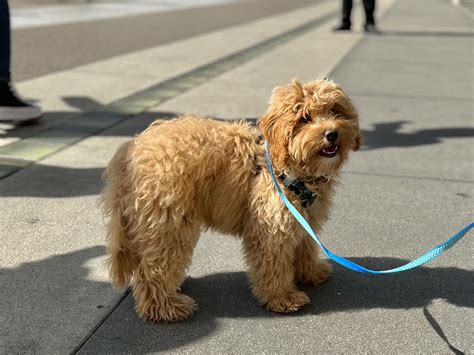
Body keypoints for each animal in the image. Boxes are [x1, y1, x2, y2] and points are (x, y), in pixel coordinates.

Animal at [100, 78, 360, 322]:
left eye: (335, 111)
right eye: (305, 118)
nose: (332, 134)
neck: (284, 168)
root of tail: (131, 150)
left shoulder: (304, 217)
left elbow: (305, 245)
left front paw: (310, 272)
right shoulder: (271, 225)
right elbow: (273, 263)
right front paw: (282, 298)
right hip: (168, 221)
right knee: (153, 269)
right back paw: (165, 307)